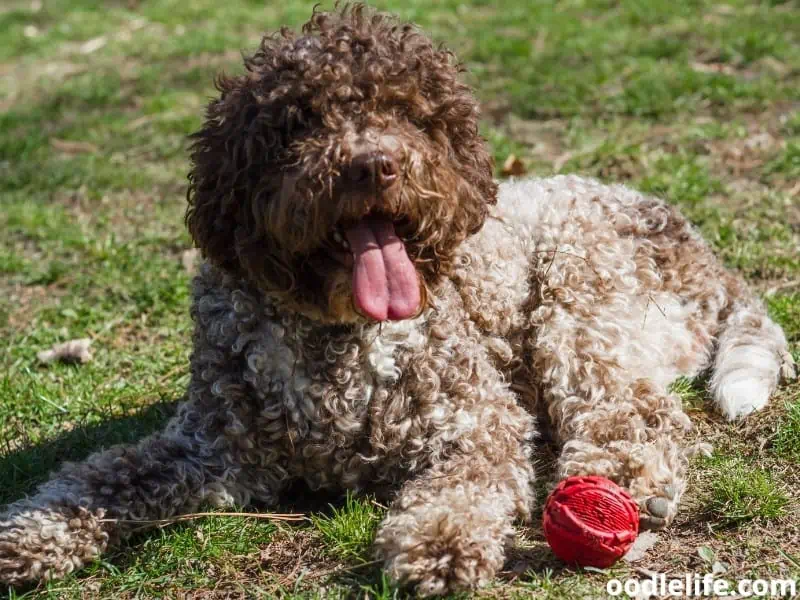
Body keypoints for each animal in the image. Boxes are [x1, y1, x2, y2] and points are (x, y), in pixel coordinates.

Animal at [0, 4, 792, 596]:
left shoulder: (478, 420)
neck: (336, 337)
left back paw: (613, 483)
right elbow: (101, 477)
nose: (373, 164)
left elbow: (463, 487)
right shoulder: (211, 451)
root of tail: (704, 250)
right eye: (301, 120)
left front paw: (440, 544)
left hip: (577, 293)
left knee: (635, 414)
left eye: (408, 114)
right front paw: (31, 534)